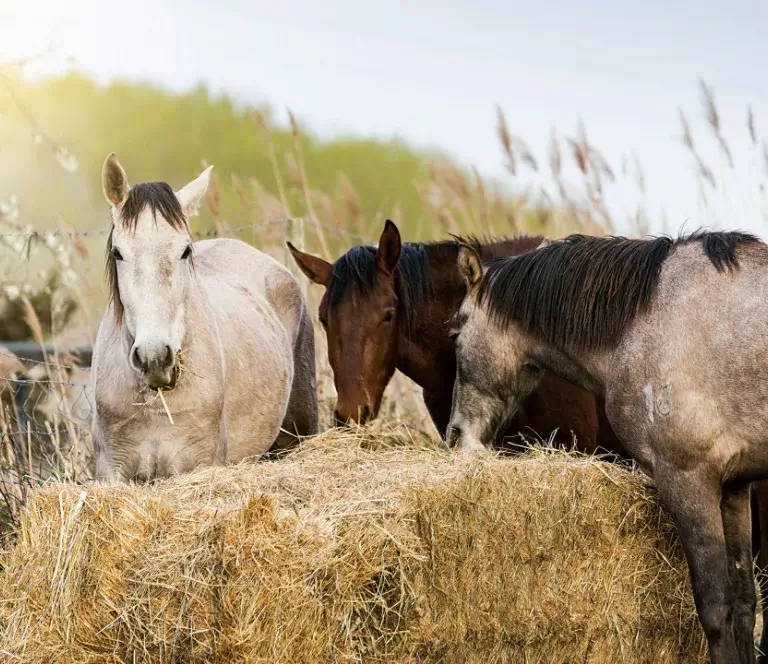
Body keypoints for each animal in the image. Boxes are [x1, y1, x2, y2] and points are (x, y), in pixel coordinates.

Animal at [288, 222, 768, 660]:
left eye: (454, 332)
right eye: (324, 319)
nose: (457, 435)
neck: (645, 322)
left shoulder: (688, 482)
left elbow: (716, 611)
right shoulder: (732, 488)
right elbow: (744, 607)